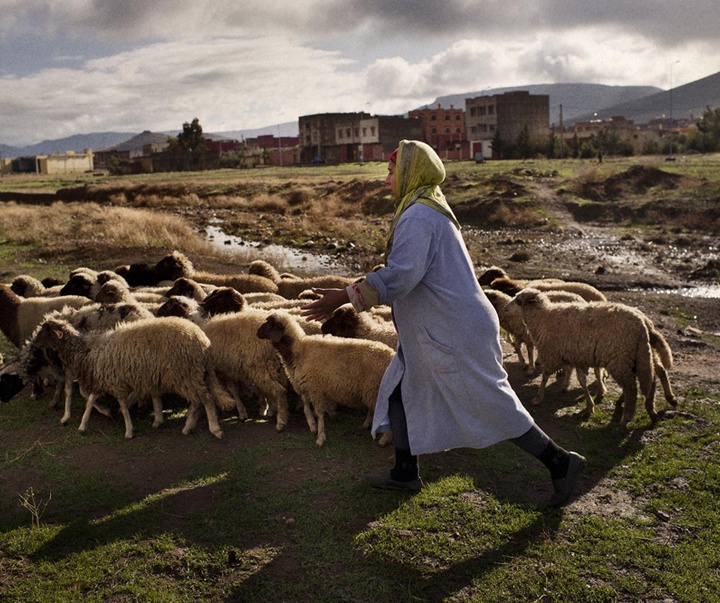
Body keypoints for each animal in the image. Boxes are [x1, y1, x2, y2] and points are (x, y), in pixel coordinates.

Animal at [32, 318, 235, 442]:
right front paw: (85, 423)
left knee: (205, 399)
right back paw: (188, 427)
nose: (33, 344)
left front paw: (128, 430)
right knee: (197, 401)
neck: (88, 351)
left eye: (45, 332)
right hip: (191, 374)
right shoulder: (103, 379)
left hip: (186, 373)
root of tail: (203, 342)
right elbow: (90, 401)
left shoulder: (114, 381)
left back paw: (214, 429)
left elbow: (121, 406)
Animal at [258, 312, 394, 448]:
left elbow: (319, 413)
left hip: (375, 390)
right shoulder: (306, 385)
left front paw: (320, 437)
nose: (257, 332)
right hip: (373, 391)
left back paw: (385, 439)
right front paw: (313, 425)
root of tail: (390, 354)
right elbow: (306, 407)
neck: (297, 351)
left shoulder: (315, 388)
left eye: (269, 324)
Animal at [506, 288, 660, 424]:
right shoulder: (577, 357)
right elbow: (582, 381)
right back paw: (648, 410)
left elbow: (545, 376)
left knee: (631, 388)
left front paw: (538, 397)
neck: (541, 317)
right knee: (649, 381)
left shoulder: (552, 354)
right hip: (636, 356)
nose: (506, 308)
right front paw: (589, 406)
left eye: (518, 301)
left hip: (620, 359)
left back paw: (627, 417)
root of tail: (642, 325)